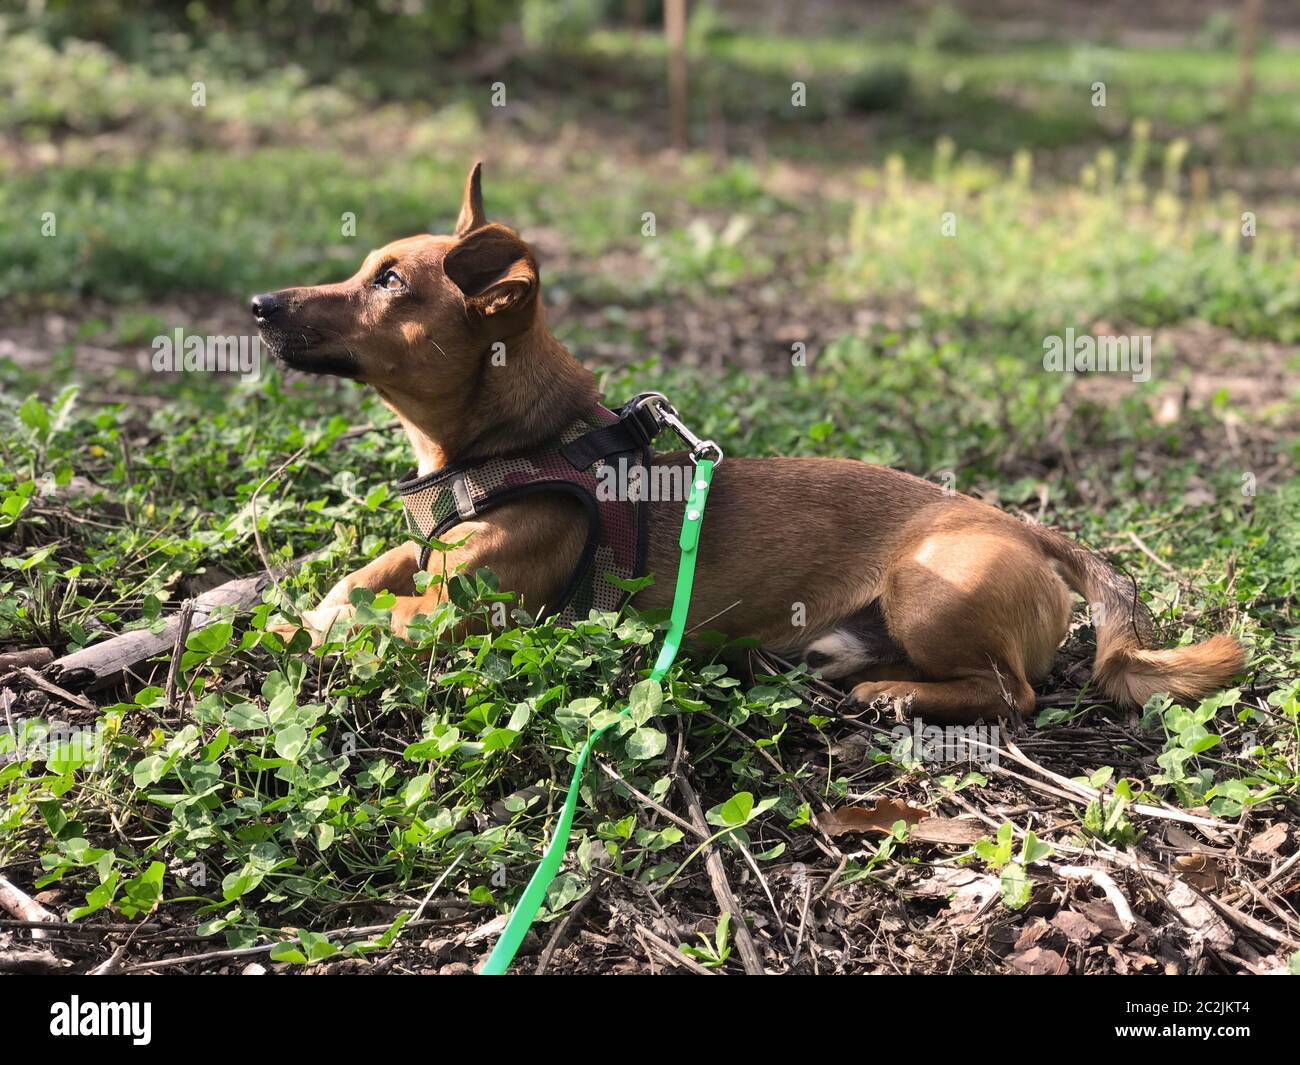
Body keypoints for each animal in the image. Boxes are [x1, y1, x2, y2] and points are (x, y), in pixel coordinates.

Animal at [250, 164, 1237, 723]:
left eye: (389, 284)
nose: (259, 305)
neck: (518, 451)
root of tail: (1032, 530)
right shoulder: (424, 559)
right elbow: (364, 576)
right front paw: (310, 604)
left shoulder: (467, 613)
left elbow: (370, 617)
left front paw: (305, 628)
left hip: (926, 585)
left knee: (1017, 692)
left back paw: (897, 697)